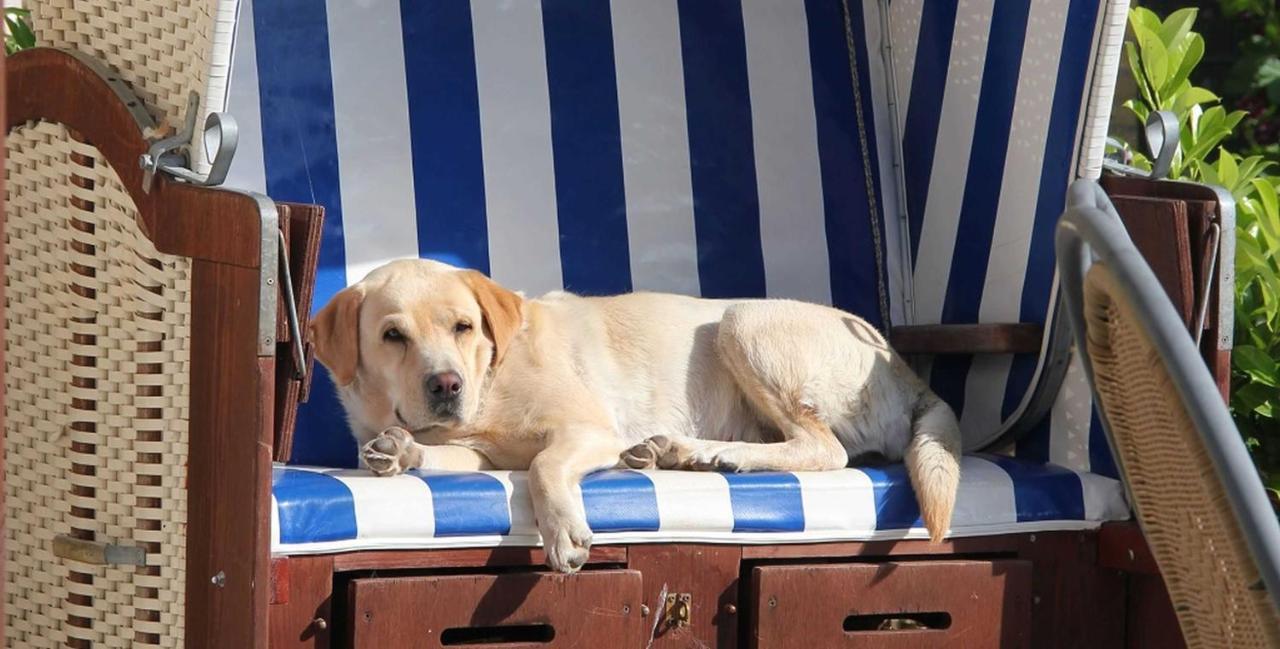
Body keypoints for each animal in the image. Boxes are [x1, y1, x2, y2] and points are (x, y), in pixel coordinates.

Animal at [309, 258, 962, 573]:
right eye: (393, 336)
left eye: (463, 326)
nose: (447, 384)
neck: (492, 378)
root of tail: (907, 372)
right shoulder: (480, 450)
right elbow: (443, 452)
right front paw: (401, 449)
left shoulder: (587, 431)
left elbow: (543, 466)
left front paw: (563, 533)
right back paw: (676, 451)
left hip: (741, 319)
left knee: (826, 448)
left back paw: (708, 452)